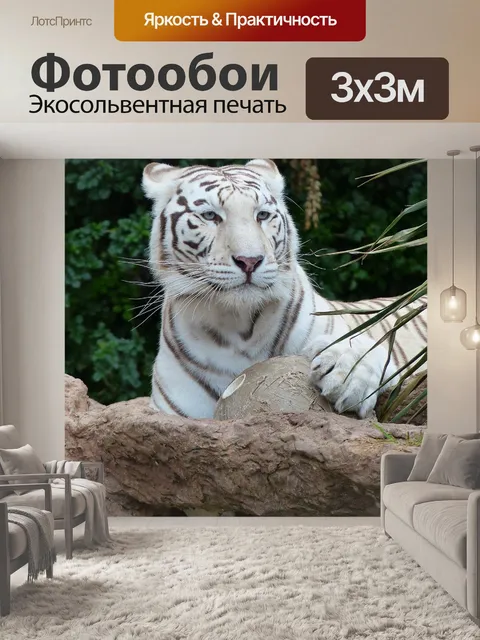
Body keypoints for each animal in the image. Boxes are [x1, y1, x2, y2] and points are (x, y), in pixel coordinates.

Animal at [142, 159, 427, 420]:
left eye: (262, 215)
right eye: (210, 216)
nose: (250, 261)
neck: (238, 328)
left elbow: (366, 348)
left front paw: (346, 373)